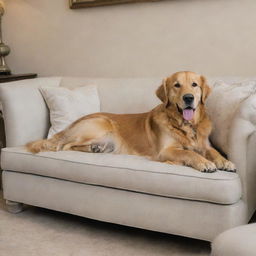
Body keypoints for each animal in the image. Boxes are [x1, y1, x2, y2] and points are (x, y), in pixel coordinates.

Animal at [26, 71, 236, 173]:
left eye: (194, 85)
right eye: (177, 85)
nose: (189, 98)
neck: (185, 126)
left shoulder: (204, 145)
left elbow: (214, 152)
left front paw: (225, 161)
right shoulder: (165, 151)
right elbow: (189, 154)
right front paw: (205, 164)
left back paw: (95, 148)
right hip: (100, 123)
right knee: (64, 146)